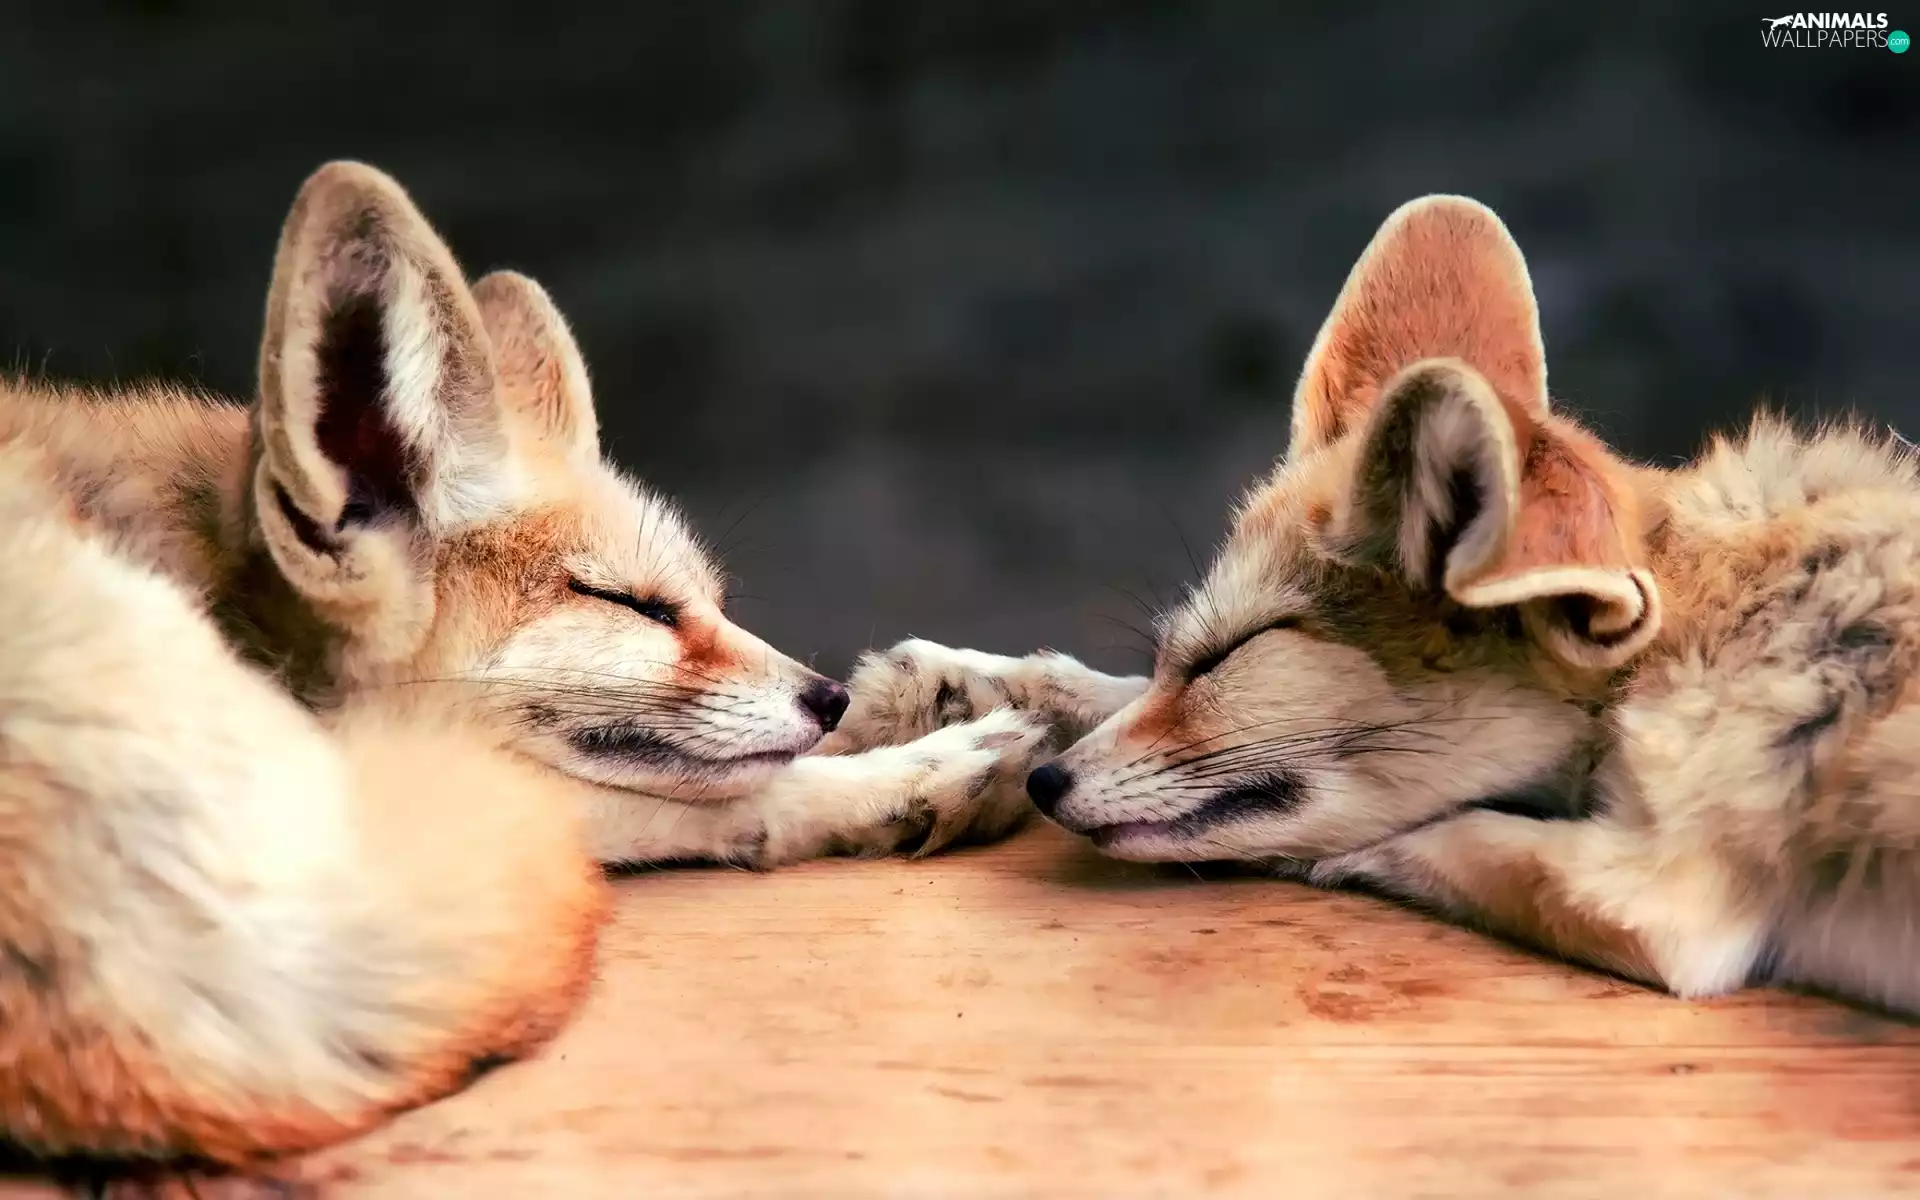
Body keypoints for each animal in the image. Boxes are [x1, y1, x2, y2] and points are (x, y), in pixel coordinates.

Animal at [838, 193, 1920, 1017]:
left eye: (1235, 654)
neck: (1704, 617)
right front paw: (962, 696)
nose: (1045, 786)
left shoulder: (1663, 900)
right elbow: (1106, 694)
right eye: (1189, 650)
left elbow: (1402, 837)